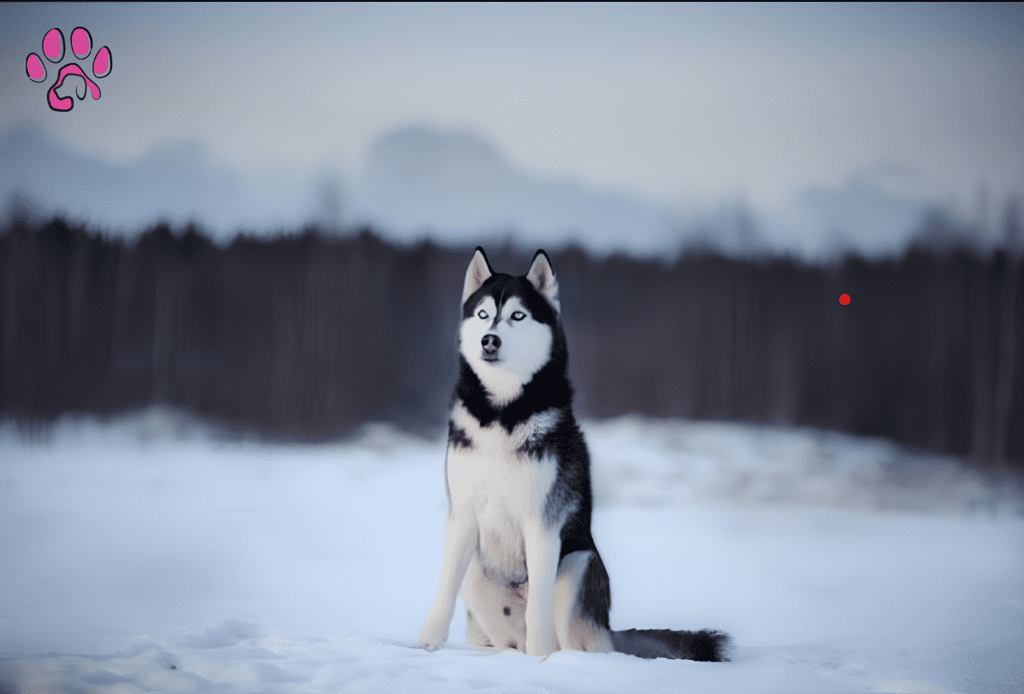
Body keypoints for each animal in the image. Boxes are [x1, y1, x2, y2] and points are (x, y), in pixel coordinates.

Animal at [417, 247, 729, 659]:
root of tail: (609, 632)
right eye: (483, 314)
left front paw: (538, 663)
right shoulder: (463, 515)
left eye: (518, 315)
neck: (503, 415)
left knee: (563, 633)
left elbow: (537, 610)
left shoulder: (542, 523)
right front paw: (427, 643)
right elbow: (443, 591)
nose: (489, 340)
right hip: (478, 576)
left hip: (575, 566)